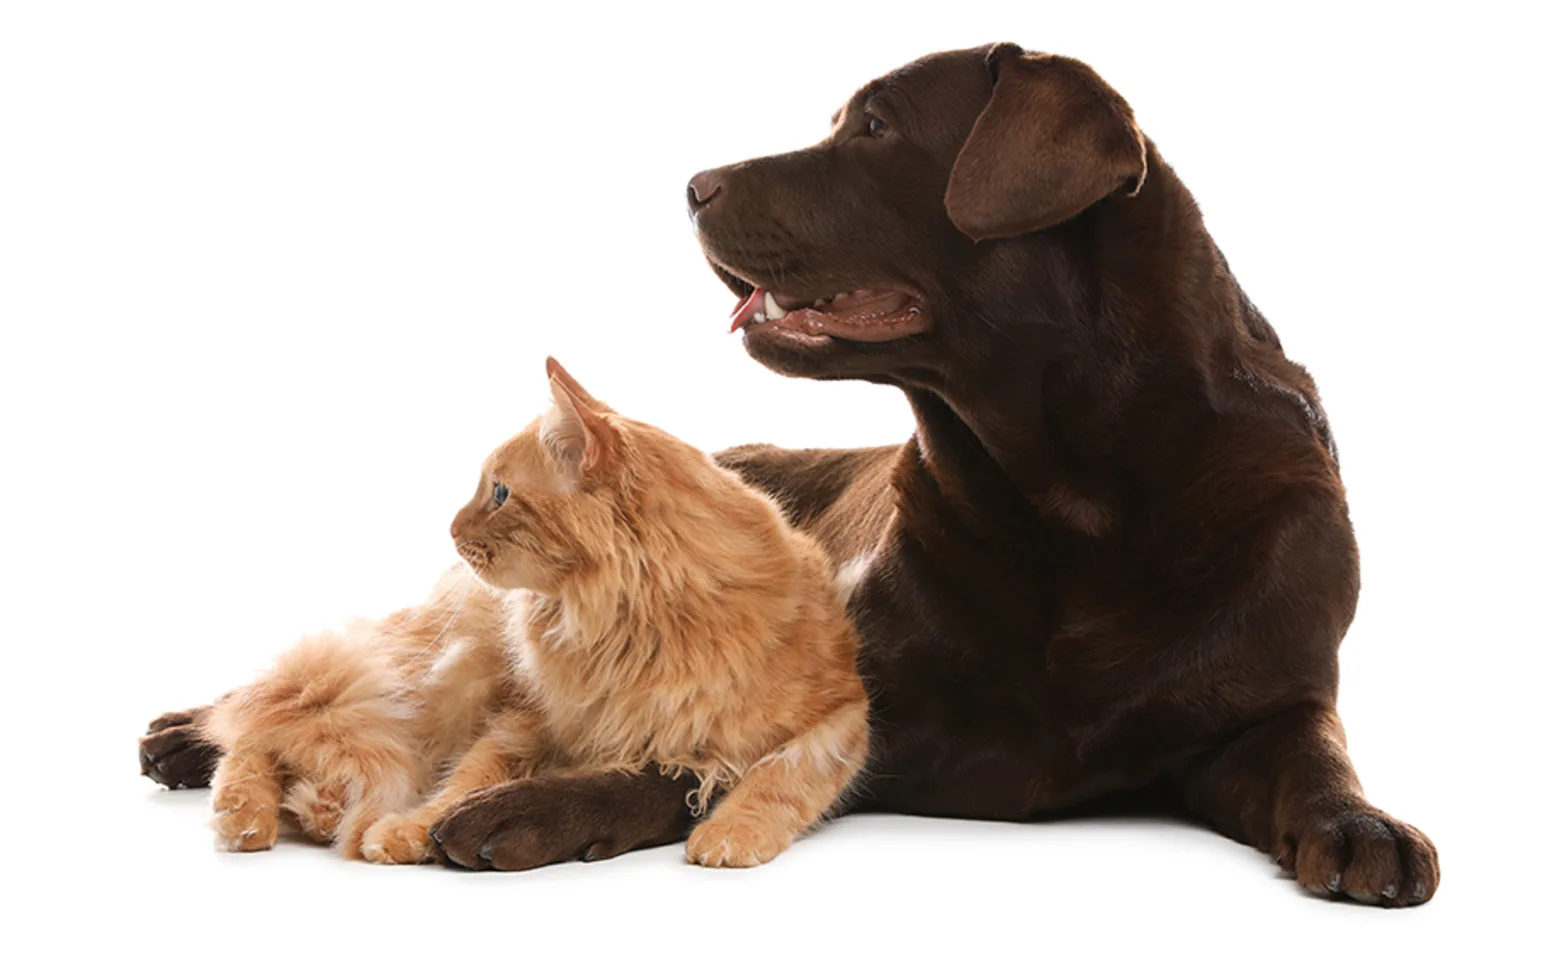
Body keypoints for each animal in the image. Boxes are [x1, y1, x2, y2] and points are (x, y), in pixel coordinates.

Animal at [198, 358, 869, 869]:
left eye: (498, 493)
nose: (449, 530)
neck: (634, 625)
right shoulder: (525, 718)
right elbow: (467, 779)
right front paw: (412, 828)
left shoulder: (842, 715)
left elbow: (779, 776)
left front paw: (731, 833)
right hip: (427, 690)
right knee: (258, 727)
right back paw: (246, 816)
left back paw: (316, 808)